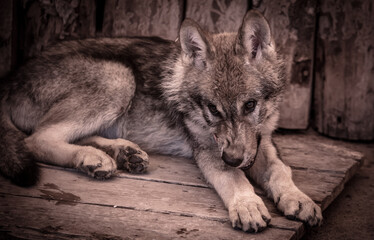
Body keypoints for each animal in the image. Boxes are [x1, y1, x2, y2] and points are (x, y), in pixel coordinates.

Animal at [0, 10, 322, 232]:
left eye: (250, 105)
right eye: (213, 109)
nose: (232, 158)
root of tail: (10, 78)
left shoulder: (260, 142)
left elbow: (280, 170)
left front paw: (299, 199)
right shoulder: (209, 150)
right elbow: (234, 178)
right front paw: (247, 204)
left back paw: (119, 154)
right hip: (118, 77)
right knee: (37, 138)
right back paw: (91, 157)